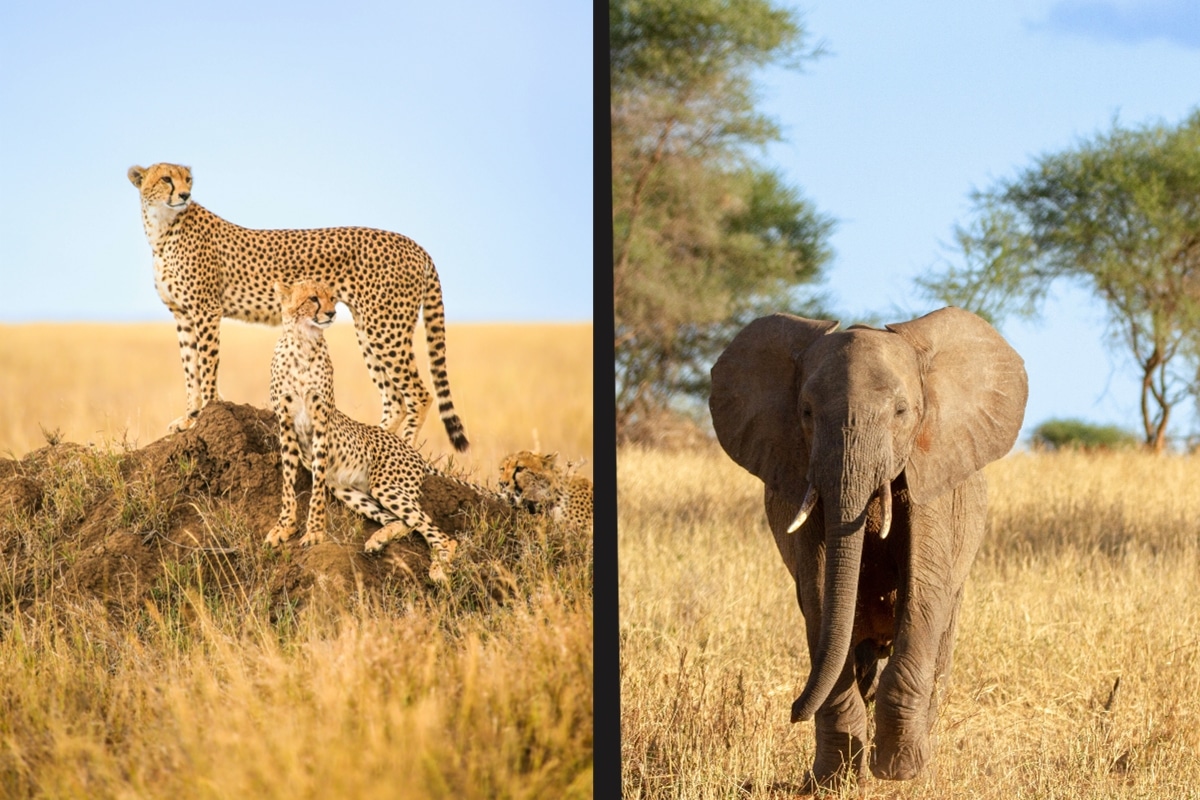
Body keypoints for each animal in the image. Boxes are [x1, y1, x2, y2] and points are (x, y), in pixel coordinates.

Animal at [129, 161, 468, 450]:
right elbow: (191, 370)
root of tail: (415, 245)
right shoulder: (183, 315)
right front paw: (189, 418)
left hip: (385, 328)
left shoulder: (206, 310)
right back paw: (376, 444)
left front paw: (206, 412)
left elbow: (206, 365)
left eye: (188, 179)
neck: (162, 228)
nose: (185, 194)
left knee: (419, 395)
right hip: (369, 329)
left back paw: (404, 449)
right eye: (166, 179)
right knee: (394, 399)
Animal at [267, 278, 482, 578]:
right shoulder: (286, 424)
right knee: (405, 522)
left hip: (386, 485)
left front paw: (315, 532)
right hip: (350, 490)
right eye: (312, 298)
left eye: (332, 298)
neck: (303, 341)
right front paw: (284, 527)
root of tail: (412, 451)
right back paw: (378, 540)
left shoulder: (321, 422)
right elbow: (288, 483)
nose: (331, 313)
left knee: (437, 532)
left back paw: (439, 568)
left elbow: (316, 487)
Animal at [705, 304, 1027, 786]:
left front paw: (899, 771)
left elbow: (923, 593)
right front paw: (833, 780)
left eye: (902, 411)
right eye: (805, 412)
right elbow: (819, 595)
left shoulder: (931, 478)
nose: (793, 711)